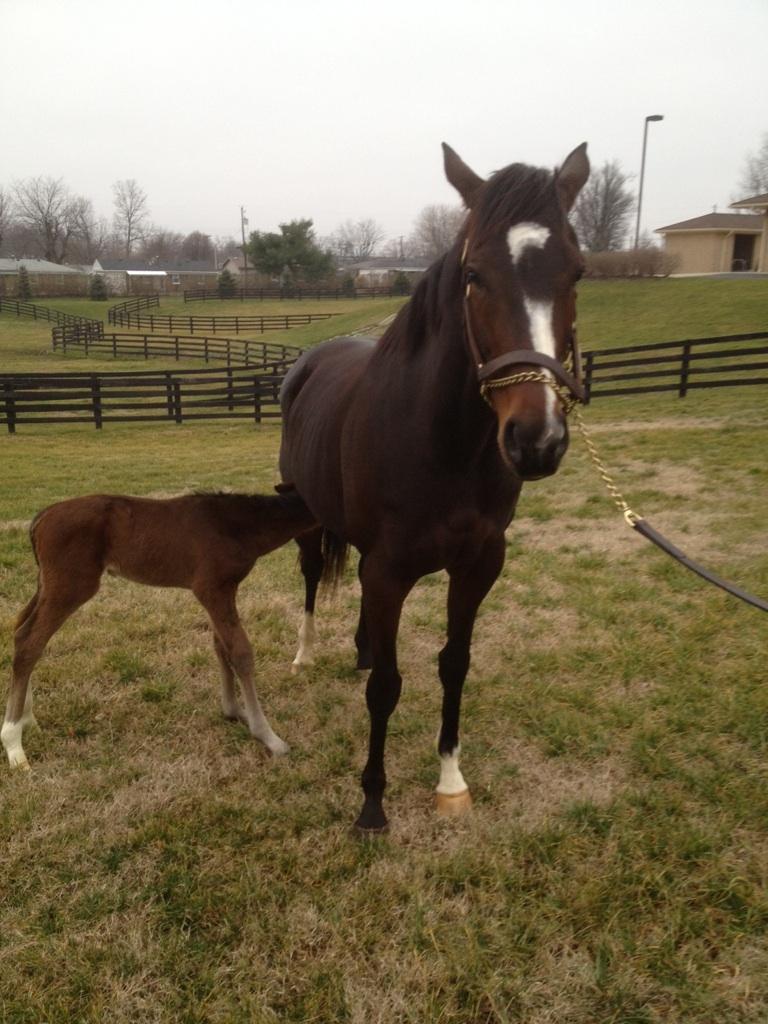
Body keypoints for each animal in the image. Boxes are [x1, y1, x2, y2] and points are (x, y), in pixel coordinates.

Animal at [1, 490, 315, 770]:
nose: (310, 564)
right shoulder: (211, 589)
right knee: (30, 641)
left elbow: (221, 646)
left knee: (20, 628)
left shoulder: (225, 591)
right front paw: (269, 738)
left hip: (47, 585)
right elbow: (240, 653)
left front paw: (235, 711)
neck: (234, 523)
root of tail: (42, 517)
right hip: (70, 586)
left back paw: (27, 719)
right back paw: (14, 744)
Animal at [278, 141, 590, 833]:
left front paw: (450, 779)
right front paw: (372, 802)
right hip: (306, 516)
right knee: (311, 578)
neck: (442, 444)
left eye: (578, 272)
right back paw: (305, 654)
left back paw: (360, 647)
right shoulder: (391, 570)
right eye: (474, 274)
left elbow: (453, 664)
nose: (536, 439)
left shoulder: (477, 565)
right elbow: (387, 688)